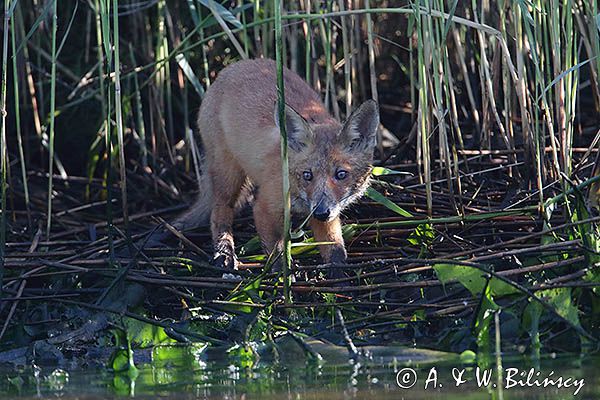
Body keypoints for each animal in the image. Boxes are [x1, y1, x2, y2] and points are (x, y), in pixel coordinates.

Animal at [173, 59, 380, 278]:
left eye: (341, 174)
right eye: (307, 175)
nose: (321, 212)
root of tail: (236, 66)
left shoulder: (325, 215)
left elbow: (335, 247)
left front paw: (339, 274)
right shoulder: (265, 208)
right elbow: (276, 250)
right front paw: (283, 275)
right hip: (228, 174)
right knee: (220, 211)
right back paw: (224, 252)